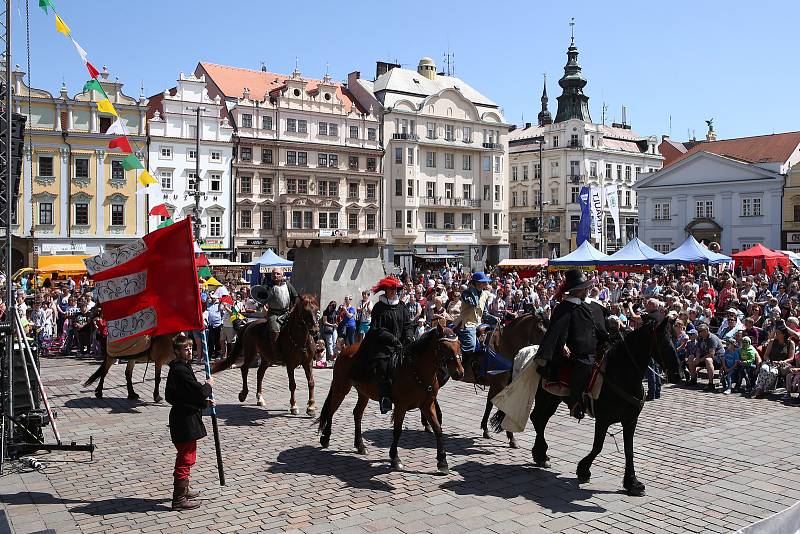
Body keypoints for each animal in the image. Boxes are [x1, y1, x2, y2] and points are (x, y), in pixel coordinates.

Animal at [312, 326, 462, 478]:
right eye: (444, 347)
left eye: (459, 344)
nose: (459, 373)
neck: (416, 370)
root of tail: (345, 350)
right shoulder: (401, 406)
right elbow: (397, 431)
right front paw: (395, 458)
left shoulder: (427, 405)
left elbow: (438, 429)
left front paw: (442, 462)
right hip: (341, 387)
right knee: (332, 409)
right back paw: (325, 438)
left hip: (363, 393)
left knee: (357, 414)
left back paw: (360, 445)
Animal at [494, 314, 680, 498]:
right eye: (664, 343)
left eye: (674, 340)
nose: (678, 375)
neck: (621, 373)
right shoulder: (603, 419)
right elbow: (598, 446)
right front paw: (583, 470)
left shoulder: (630, 420)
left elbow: (629, 449)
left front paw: (632, 483)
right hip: (545, 397)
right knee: (537, 418)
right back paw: (541, 454)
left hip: (553, 398)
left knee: (540, 419)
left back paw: (540, 454)